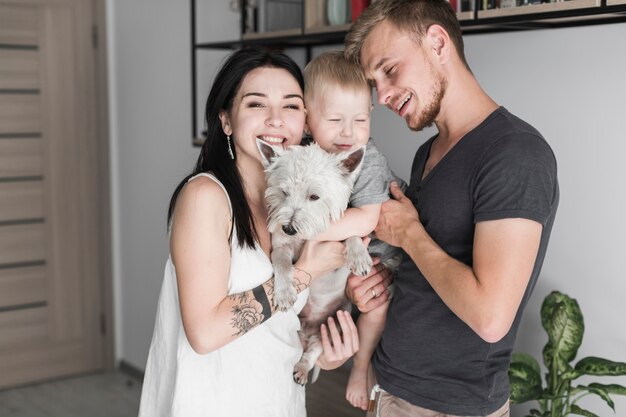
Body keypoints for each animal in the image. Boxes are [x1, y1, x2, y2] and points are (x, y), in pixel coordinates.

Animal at [255, 141, 370, 386]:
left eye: (314, 197)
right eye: (284, 192)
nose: (288, 228)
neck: (303, 237)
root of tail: (308, 332)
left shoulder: (340, 231)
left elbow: (353, 236)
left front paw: (360, 257)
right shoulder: (281, 247)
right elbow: (282, 264)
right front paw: (284, 293)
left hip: (333, 326)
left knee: (312, 353)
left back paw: (301, 370)